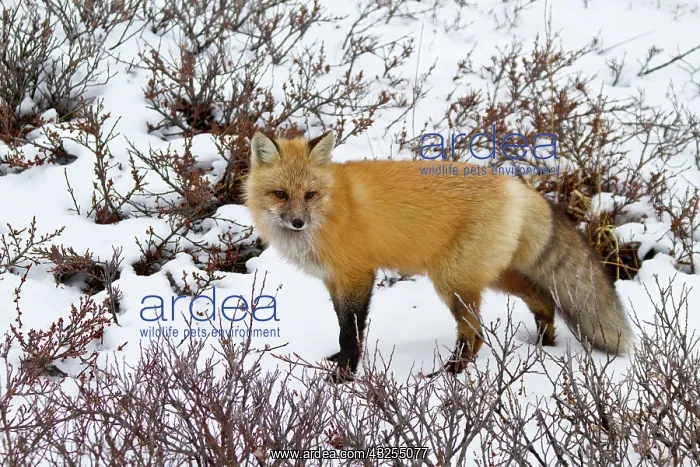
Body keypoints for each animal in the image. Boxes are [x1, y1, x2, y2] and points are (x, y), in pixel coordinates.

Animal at [242, 130, 633, 382]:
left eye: (310, 195)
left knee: (475, 334)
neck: (332, 208)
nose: (297, 222)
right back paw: (544, 344)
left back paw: (450, 375)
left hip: (452, 281)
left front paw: (344, 377)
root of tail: (516, 186)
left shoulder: (358, 275)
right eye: (280, 194)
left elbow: (350, 332)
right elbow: (343, 327)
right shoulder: (334, 280)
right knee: (542, 300)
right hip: (491, 276)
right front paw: (339, 363)